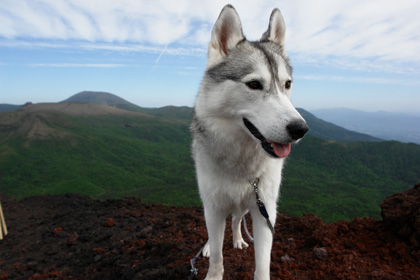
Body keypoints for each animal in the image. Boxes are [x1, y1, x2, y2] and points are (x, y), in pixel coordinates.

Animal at [191, 4, 308, 280]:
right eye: (254, 84)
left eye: (287, 84)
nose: (300, 129)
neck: (242, 163)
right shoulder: (213, 207)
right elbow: (217, 253)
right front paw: (213, 270)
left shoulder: (264, 211)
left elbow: (262, 263)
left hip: (245, 207)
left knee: (235, 221)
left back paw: (237, 239)